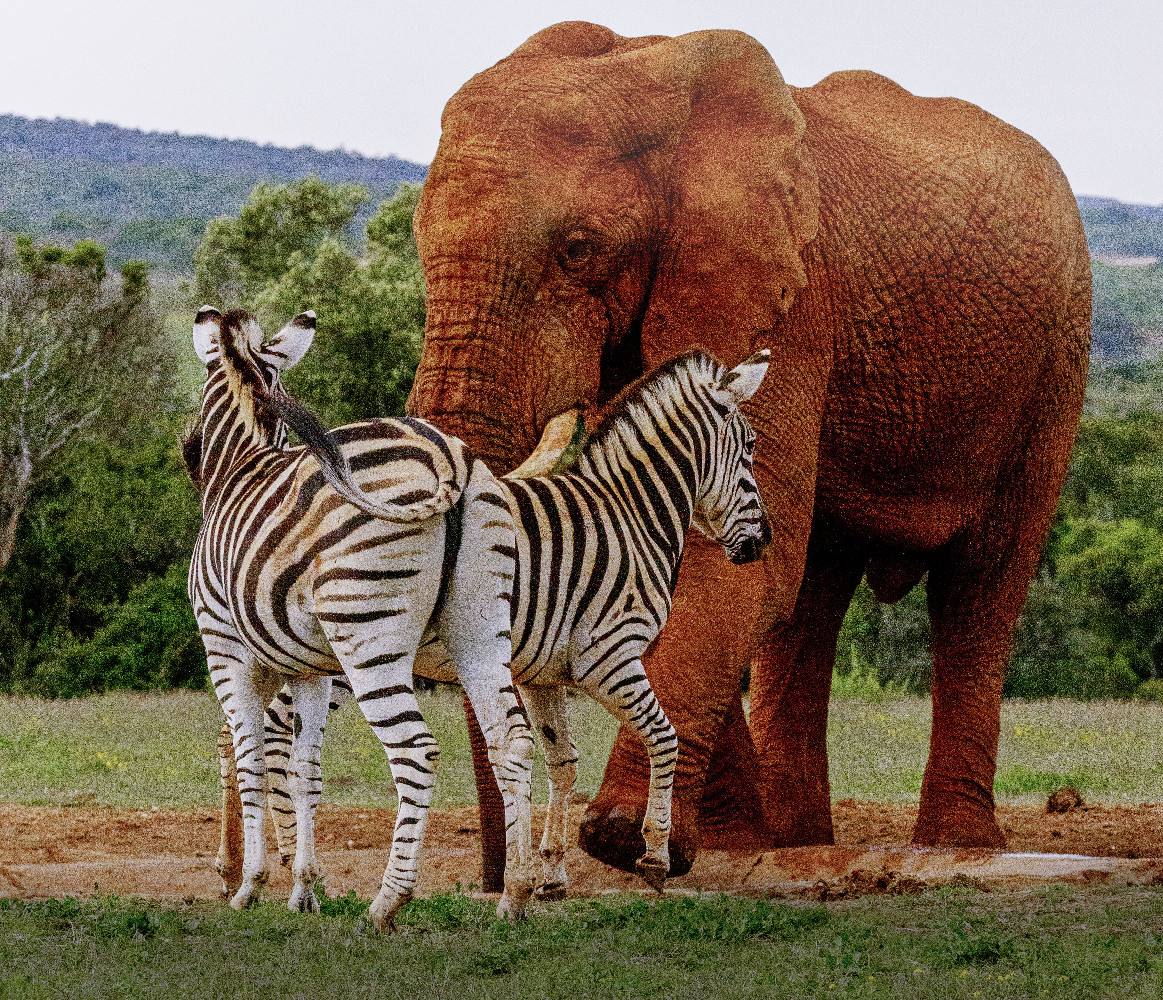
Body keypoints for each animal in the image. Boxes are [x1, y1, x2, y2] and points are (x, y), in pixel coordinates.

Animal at [186, 306, 535, 931]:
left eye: (194, 443)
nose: (185, 452)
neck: (241, 467)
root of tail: (446, 456)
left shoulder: (225, 649)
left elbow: (253, 762)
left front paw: (250, 887)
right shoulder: (310, 670)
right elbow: (303, 769)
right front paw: (304, 890)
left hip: (368, 635)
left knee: (416, 750)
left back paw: (387, 902)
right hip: (480, 627)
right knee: (512, 742)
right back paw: (515, 895)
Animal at [215, 346, 772, 898]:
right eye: (748, 447)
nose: (762, 541)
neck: (628, 518)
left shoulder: (543, 676)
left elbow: (563, 762)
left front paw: (550, 872)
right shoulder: (609, 657)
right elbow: (662, 737)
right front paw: (654, 856)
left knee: (242, 737)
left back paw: (252, 870)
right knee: (268, 738)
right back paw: (281, 867)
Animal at [406, 21, 1091, 883]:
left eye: (578, 249)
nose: (506, 878)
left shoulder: (787, 300)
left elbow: (733, 565)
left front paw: (624, 839)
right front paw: (705, 842)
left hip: (1053, 362)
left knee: (979, 586)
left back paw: (953, 846)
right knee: (815, 593)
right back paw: (794, 839)